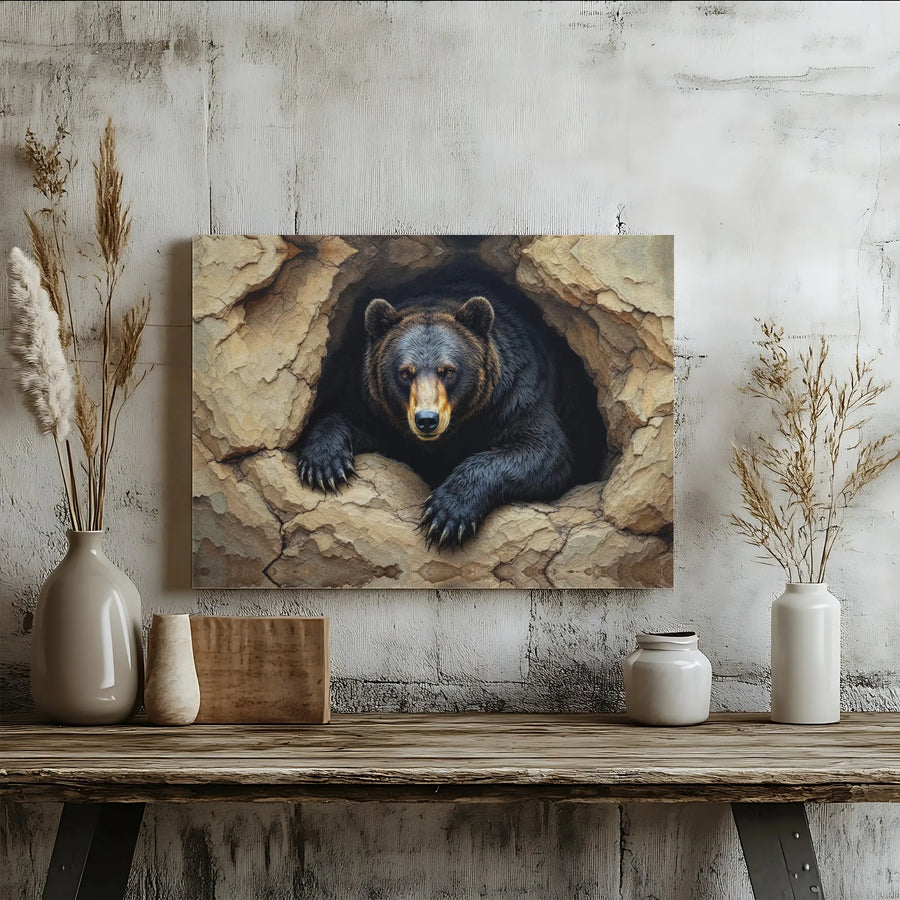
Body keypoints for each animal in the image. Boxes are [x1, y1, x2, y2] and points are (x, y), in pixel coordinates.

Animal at [295, 274, 603, 550]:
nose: (426, 420)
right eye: (405, 372)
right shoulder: (383, 413)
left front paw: (446, 515)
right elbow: (352, 420)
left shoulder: (517, 392)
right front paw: (323, 465)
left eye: (448, 370)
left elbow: (542, 449)